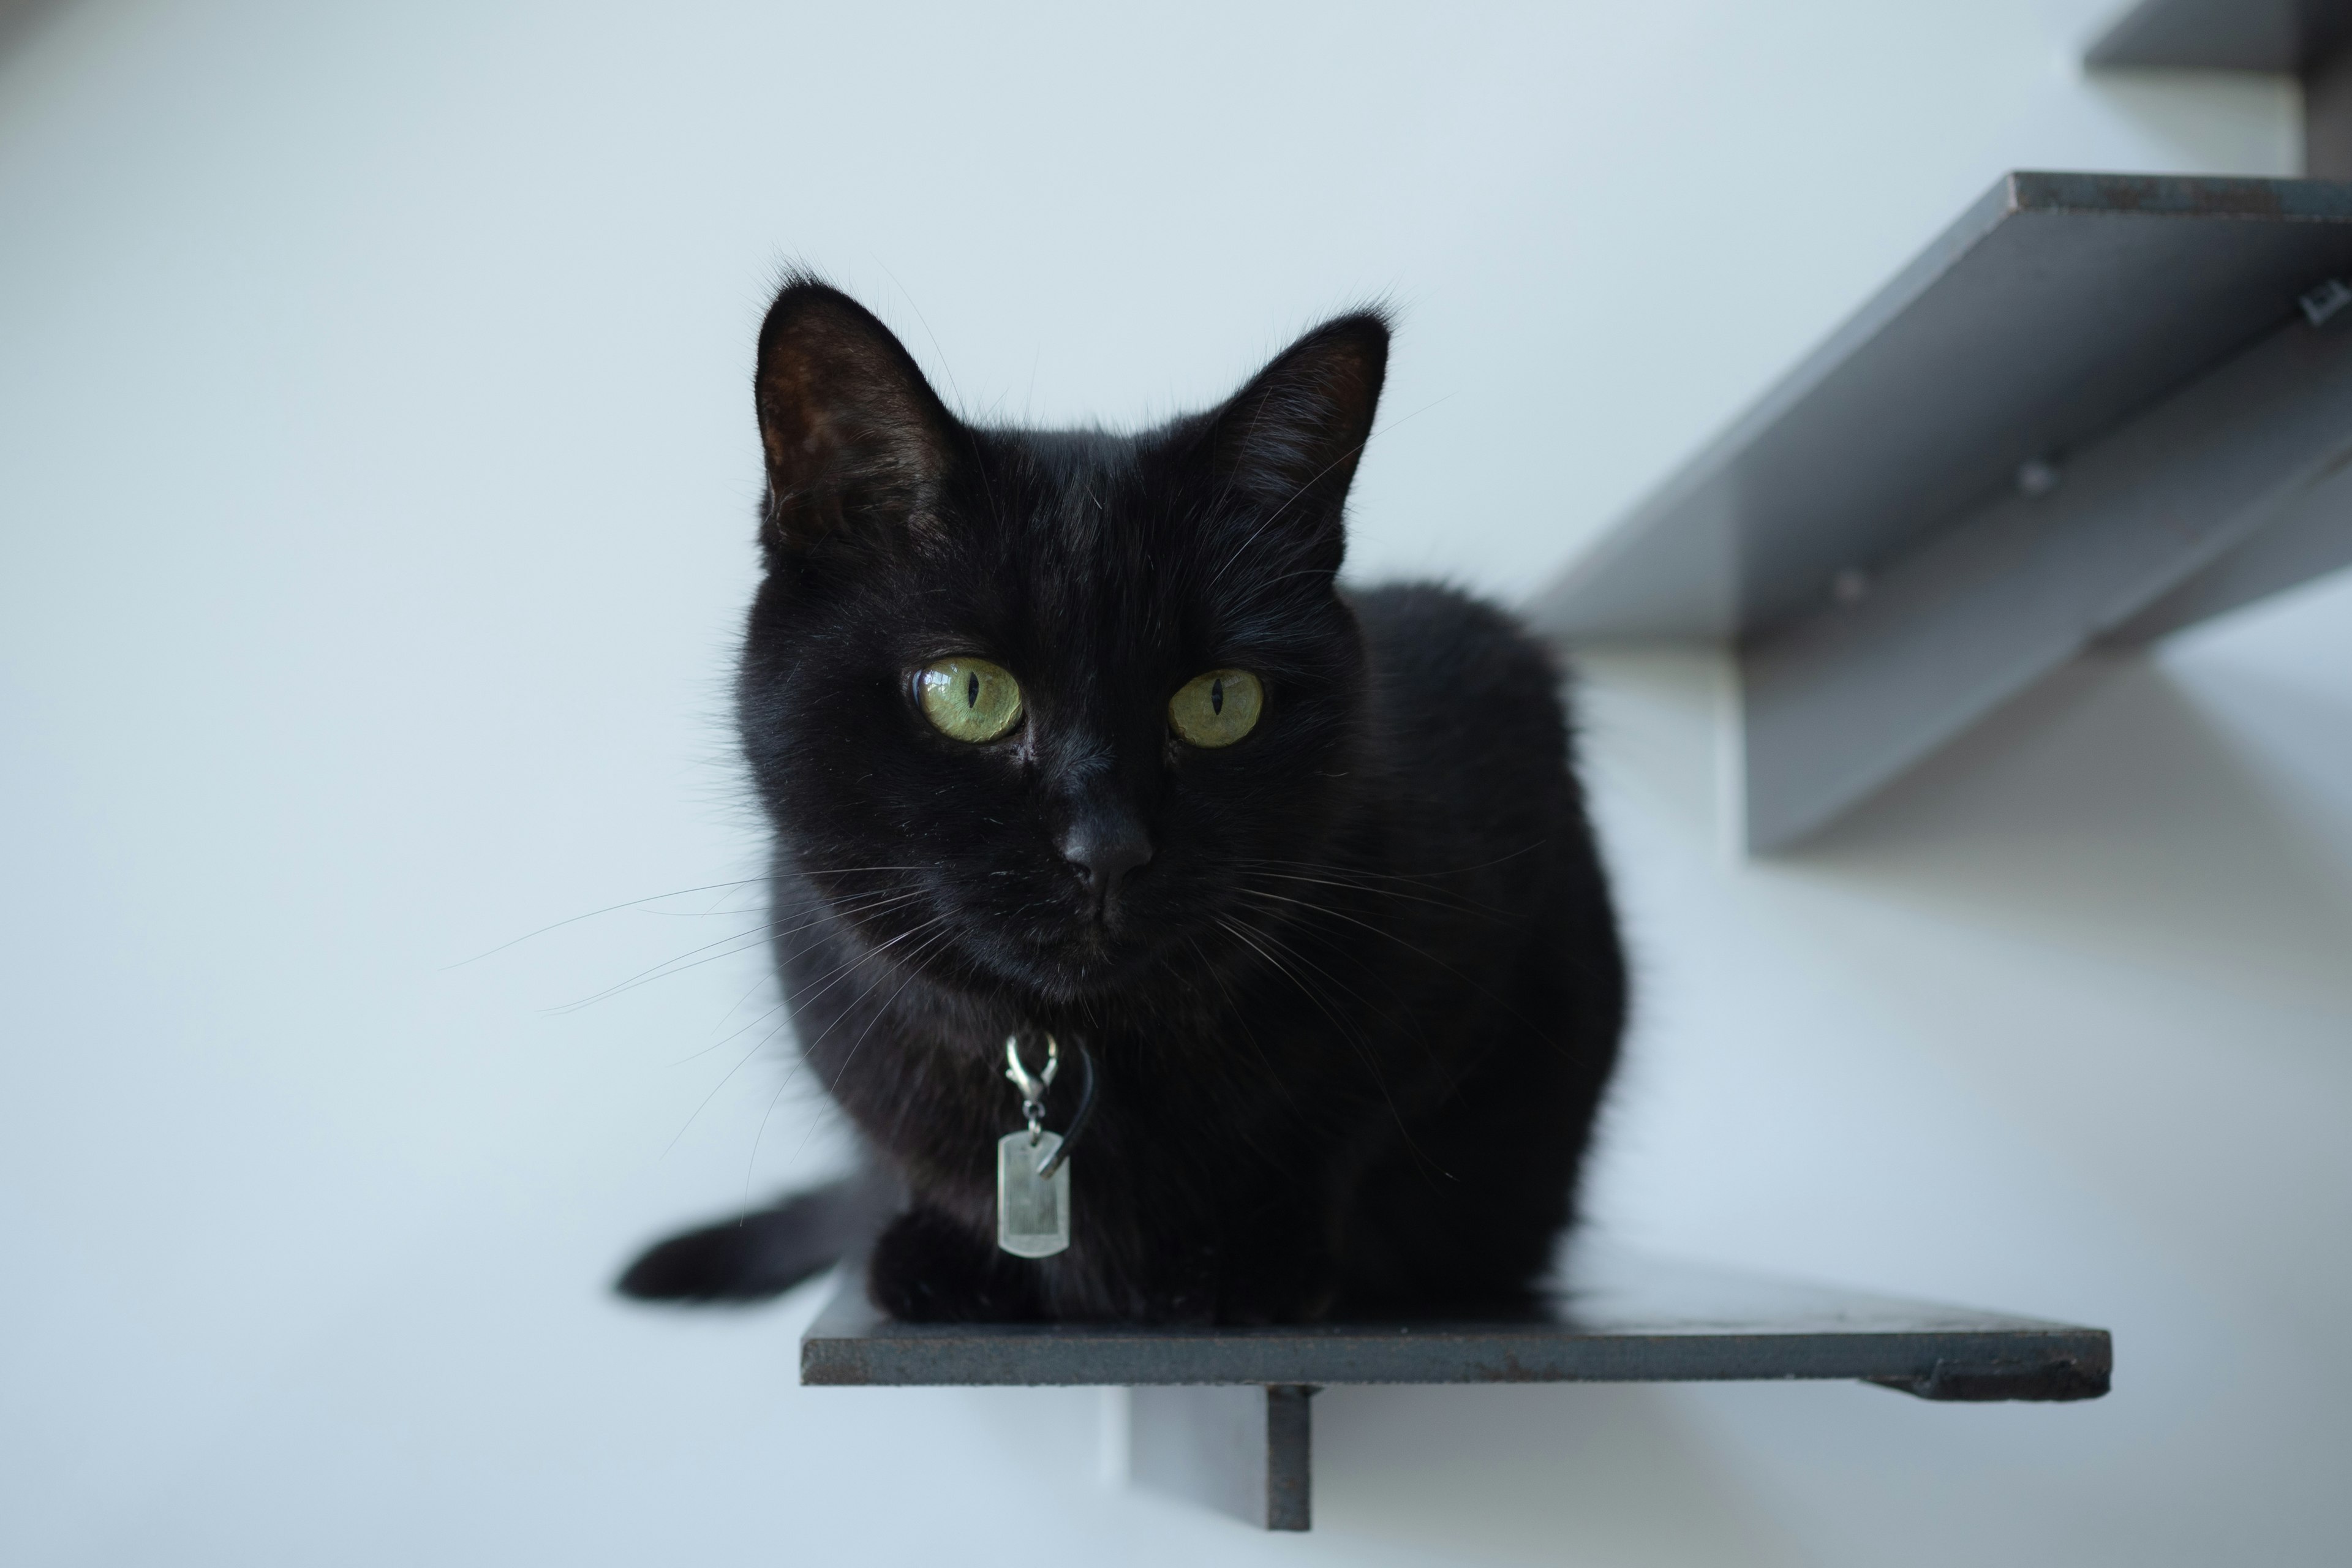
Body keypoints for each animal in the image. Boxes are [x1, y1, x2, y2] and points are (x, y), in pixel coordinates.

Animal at [616, 282, 1627, 1325]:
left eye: (1220, 702)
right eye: (967, 693)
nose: (1106, 847)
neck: (1076, 1051)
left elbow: (1364, 1137)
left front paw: (1251, 1266)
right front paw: (951, 1258)